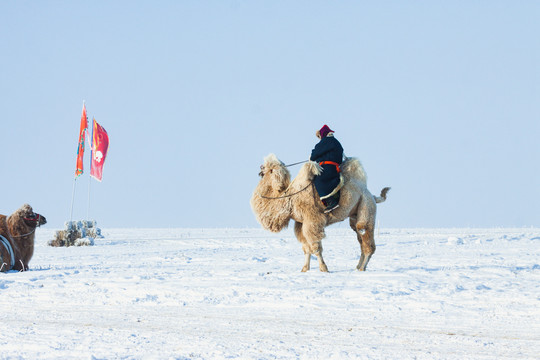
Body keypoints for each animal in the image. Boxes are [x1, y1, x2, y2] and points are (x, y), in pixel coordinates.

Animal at [251, 153, 390, 272]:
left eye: (267, 167)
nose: (259, 168)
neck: (289, 198)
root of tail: (372, 196)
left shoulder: (312, 220)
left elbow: (315, 248)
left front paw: (324, 268)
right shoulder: (300, 223)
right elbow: (306, 248)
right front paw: (304, 269)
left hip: (366, 207)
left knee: (367, 240)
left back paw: (362, 268)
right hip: (355, 215)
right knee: (360, 238)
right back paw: (358, 266)